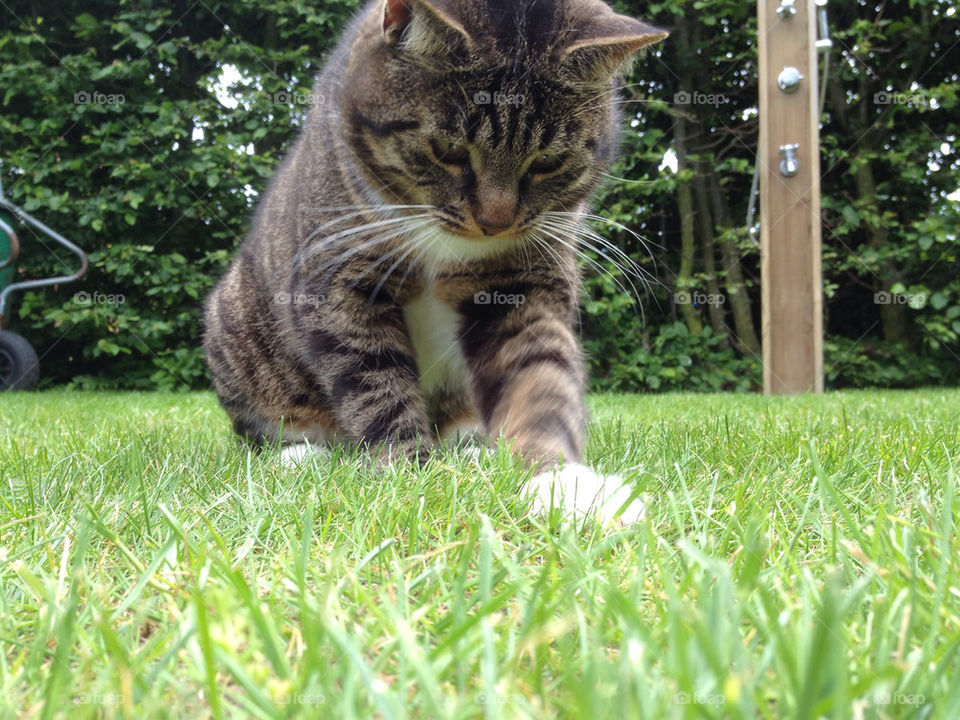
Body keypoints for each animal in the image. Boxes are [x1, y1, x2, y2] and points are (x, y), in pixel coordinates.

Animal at [202, 0, 668, 524]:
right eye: (448, 150)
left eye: (547, 161)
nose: (495, 222)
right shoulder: (339, 282)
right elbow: (376, 386)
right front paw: (409, 476)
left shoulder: (522, 283)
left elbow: (539, 379)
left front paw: (564, 486)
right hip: (233, 323)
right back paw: (301, 454)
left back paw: (473, 448)